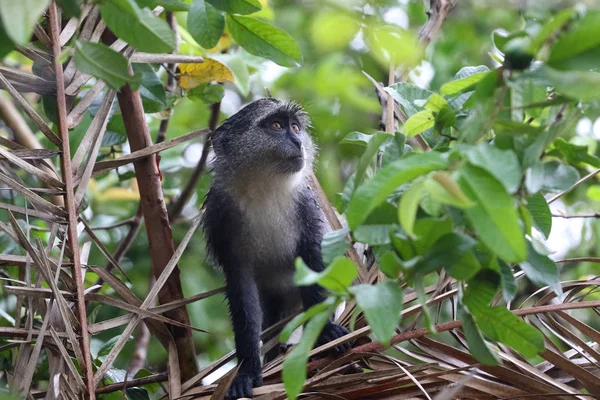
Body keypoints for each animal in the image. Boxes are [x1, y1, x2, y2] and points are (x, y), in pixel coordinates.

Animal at [202, 97, 352, 400]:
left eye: (294, 127)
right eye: (276, 126)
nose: (297, 141)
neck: (263, 187)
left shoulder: (306, 206)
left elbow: (312, 260)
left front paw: (325, 333)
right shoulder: (219, 215)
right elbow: (241, 287)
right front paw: (247, 370)